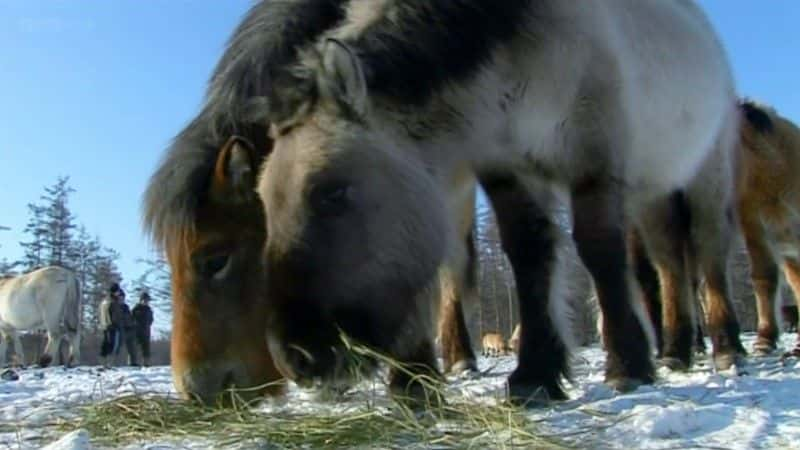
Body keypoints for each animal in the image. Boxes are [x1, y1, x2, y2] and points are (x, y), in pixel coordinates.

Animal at [253, 0, 740, 404]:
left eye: (332, 192)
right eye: (265, 203)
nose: (294, 356)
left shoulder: (594, 163)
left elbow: (599, 254)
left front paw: (626, 365)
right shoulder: (509, 170)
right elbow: (530, 257)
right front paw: (537, 374)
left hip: (707, 174)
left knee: (710, 254)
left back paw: (727, 348)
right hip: (652, 192)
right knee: (670, 265)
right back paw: (676, 351)